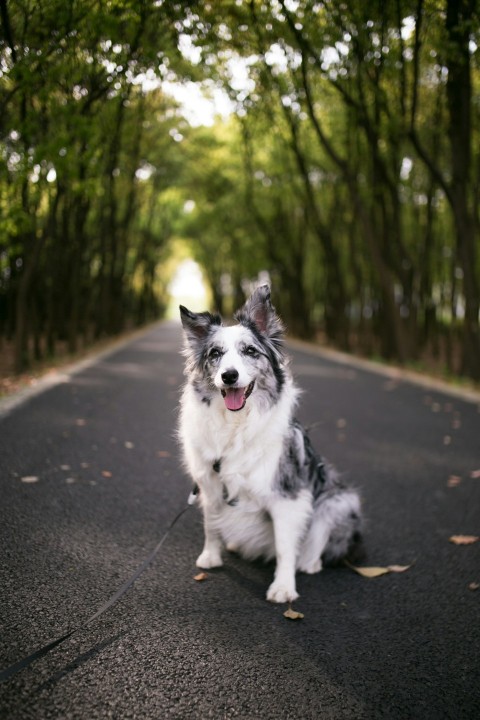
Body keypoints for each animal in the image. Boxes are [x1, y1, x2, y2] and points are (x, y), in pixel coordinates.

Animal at [178, 284, 362, 604]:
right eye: (215, 354)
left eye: (250, 351)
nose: (229, 376)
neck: (235, 424)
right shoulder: (210, 485)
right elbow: (211, 526)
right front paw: (211, 557)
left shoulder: (288, 496)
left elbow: (285, 547)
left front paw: (283, 587)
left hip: (340, 500)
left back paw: (310, 562)